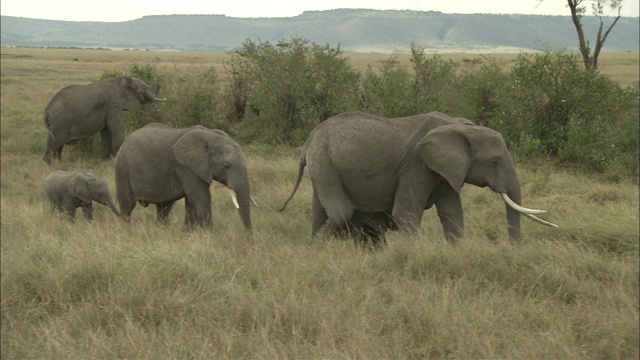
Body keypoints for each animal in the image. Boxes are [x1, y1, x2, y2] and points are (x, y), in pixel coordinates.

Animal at [115, 123, 252, 231]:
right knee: (127, 206)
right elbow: (201, 200)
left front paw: (187, 234)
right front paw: (210, 236)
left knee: (163, 208)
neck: (211, 135)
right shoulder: (186, 167)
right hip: (122, 169)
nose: (248, 237)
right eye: (226, 166)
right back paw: (127, 232)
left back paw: (161, 231)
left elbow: (191, 203)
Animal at [280, 110, 556, 245]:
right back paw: (316, 249)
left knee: (322, 213)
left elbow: (452, 213)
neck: (460, 127)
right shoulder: (417, 166)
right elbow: (406, 214)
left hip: (324, 167)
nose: (513, 250)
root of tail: (309, 141)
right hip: (325, 163)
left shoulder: (444, 171)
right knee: (340, 213)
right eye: (495, 161)